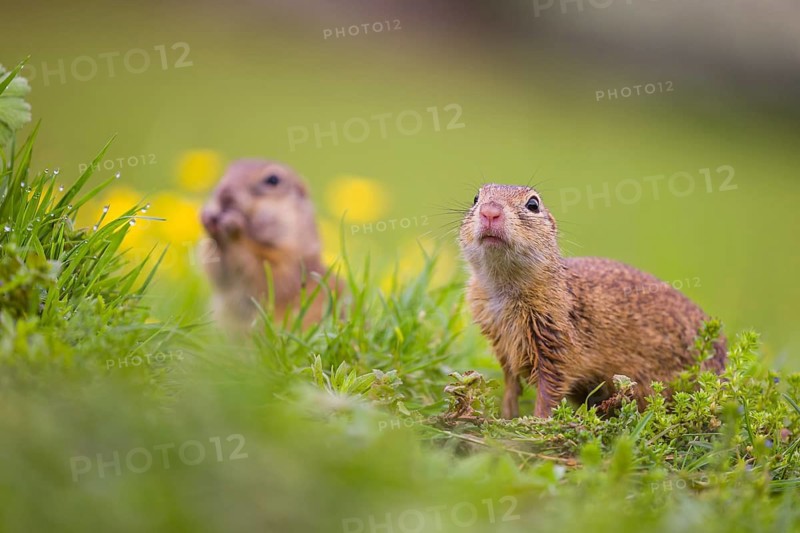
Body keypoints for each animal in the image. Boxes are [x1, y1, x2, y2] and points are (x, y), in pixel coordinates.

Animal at [199, 159, 336, 331]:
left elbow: (263, 274)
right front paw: (207, 218)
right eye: (226, 172)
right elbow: (217, 272)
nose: (224, 193)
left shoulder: (288, 263)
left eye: (273, 180)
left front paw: (233, 228)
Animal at [459, 184, 726, 418]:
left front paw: (535, 422)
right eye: (475, 198)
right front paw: (505, 417)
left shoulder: (557, 347)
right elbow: (510, 385)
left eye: (533, 204)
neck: (505, 289)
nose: (490, 211)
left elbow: (549, 392)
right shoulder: (503, 347)